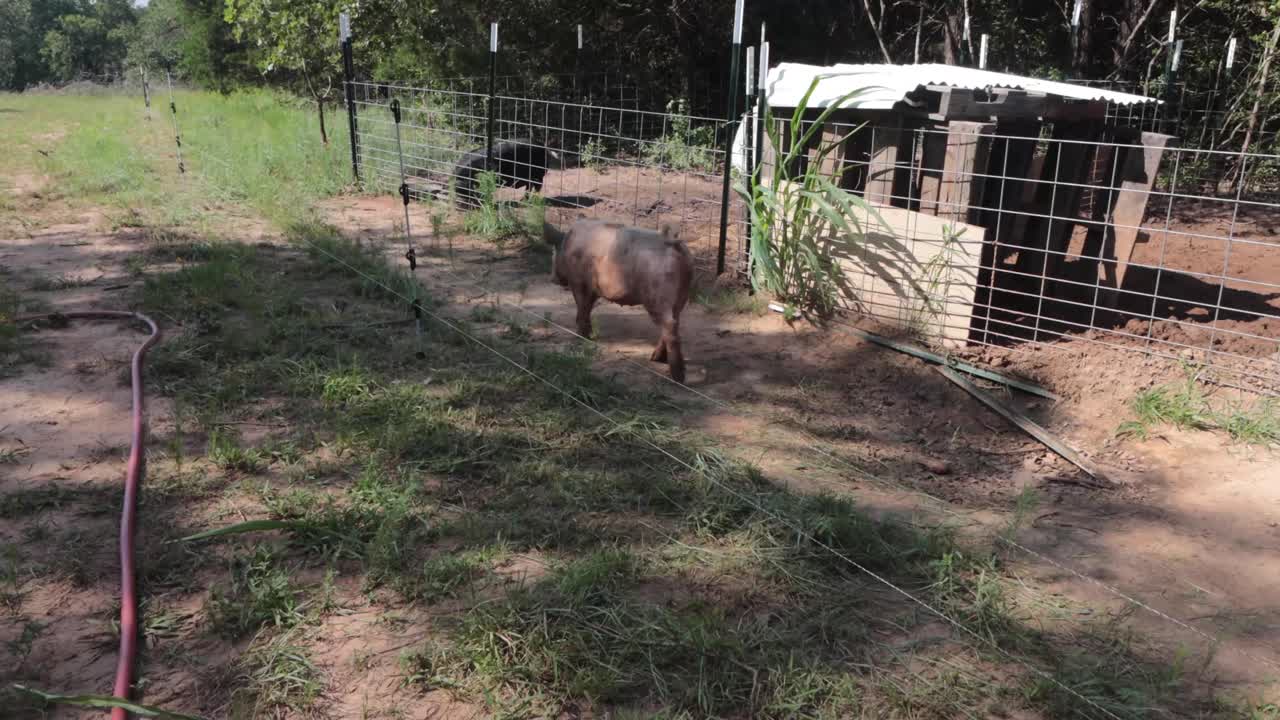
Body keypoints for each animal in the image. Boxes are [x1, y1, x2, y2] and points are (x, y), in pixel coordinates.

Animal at [552, 219, 693, 382]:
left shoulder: (578, 282)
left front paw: (581, 338)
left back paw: (677, 378)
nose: (553, 279)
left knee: (670, 326)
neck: (568, 245)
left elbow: (582, 307)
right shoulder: (593, 289)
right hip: (682, 295)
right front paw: (590, 336)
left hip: (658, 296)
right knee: (675, 322)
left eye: (555, 251)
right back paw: (655, 359)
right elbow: (587, 309)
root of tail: (673, 242)